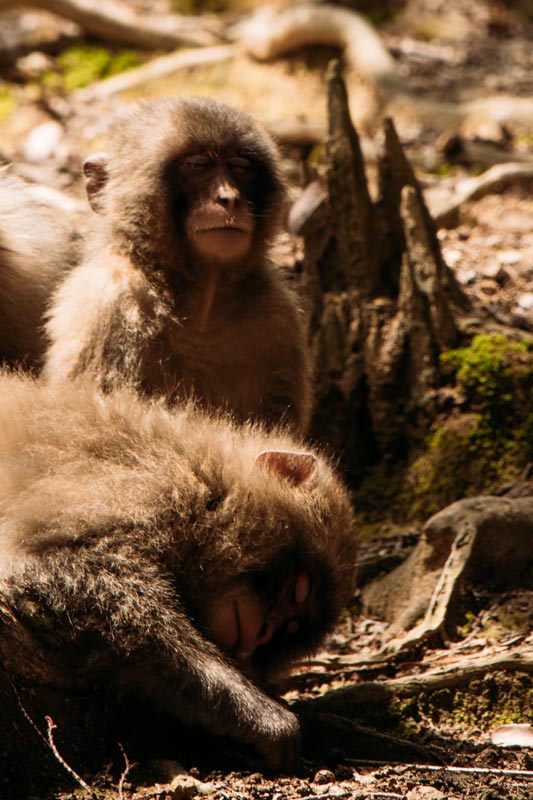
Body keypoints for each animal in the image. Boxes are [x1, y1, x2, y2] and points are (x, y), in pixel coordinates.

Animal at [0, 371, 357, 783]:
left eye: (286, 631)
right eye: (296, 592)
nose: (265, 630)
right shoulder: (148, 489)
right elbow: (69, 568)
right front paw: (261, 716)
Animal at [43, 97, 313, 432]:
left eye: (240, 167)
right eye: (198, 165)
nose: (228, 198)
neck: (199, 304)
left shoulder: (278, 316)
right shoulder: (105, 301)